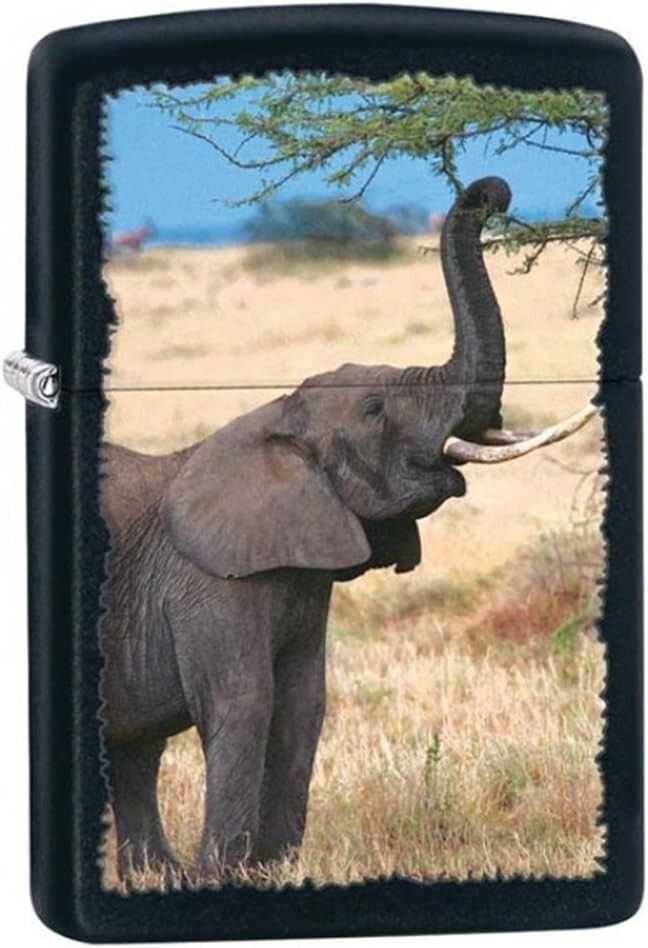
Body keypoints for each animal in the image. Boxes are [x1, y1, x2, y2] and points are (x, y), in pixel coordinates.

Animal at [99, 177, 594, 877]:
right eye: (374, 410)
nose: (495, 193)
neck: (273, 420)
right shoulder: (209, 582)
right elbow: (245, 702)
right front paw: (221, 877)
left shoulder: (305, 570)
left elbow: (304, 706)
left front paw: (270, 870)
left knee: (136, 751)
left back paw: (154, 876)